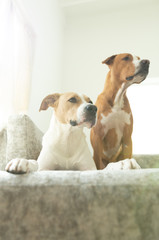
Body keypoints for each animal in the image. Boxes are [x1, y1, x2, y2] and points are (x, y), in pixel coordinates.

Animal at [5, 91, 140, 172]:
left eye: (90, 101)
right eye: (72, 100)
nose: (93, 108)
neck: (68, 136)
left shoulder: (90, 170)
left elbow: (104, 169)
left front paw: (122, 164)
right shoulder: (44, 169)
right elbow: (35, 164)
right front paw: (22, 161)